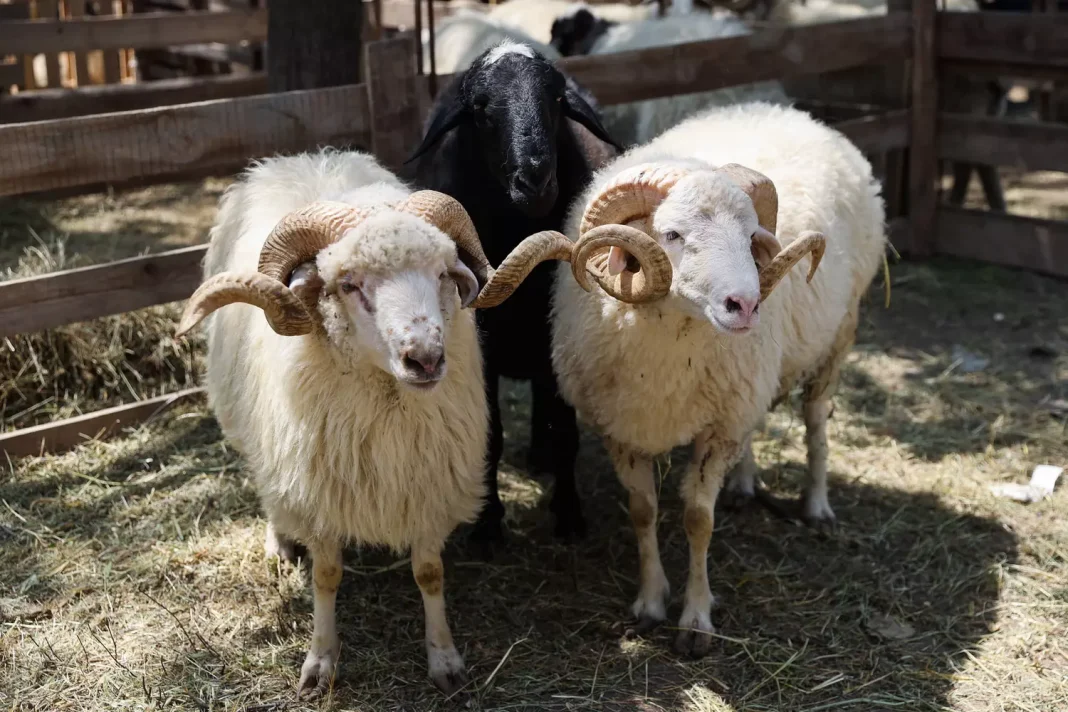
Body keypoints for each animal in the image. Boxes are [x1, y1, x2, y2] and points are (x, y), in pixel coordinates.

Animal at [175, 149, 580, 697]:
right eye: (348, 285)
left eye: (443, 274)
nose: (425, 358)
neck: (390, 406)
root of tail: (303, 157)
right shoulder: (318, 495)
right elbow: (326, 576)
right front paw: (320, 662)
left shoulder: (427, 488)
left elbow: (429, 573)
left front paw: (444, 659)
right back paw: (281, 541)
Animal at [402, 41, 622, 547]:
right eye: (481, 111)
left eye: (556, 101)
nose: (535, 181)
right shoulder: (479, 342)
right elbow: (491, 435)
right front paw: (487, 525)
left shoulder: (557, 331)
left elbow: (565, 431)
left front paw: (569, 516)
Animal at [549, 102, 885, 654]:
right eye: (672, 234)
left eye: (751, 239)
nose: (744, 305)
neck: (667, 349)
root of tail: (790, 112)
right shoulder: (623, 428)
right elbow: (642, 510)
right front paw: (650, 601)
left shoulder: (719, 426)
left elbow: (697, 519)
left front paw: (696, 619)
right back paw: (744, 483)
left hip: (841, 331)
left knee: (816, 421)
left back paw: (816, 505)